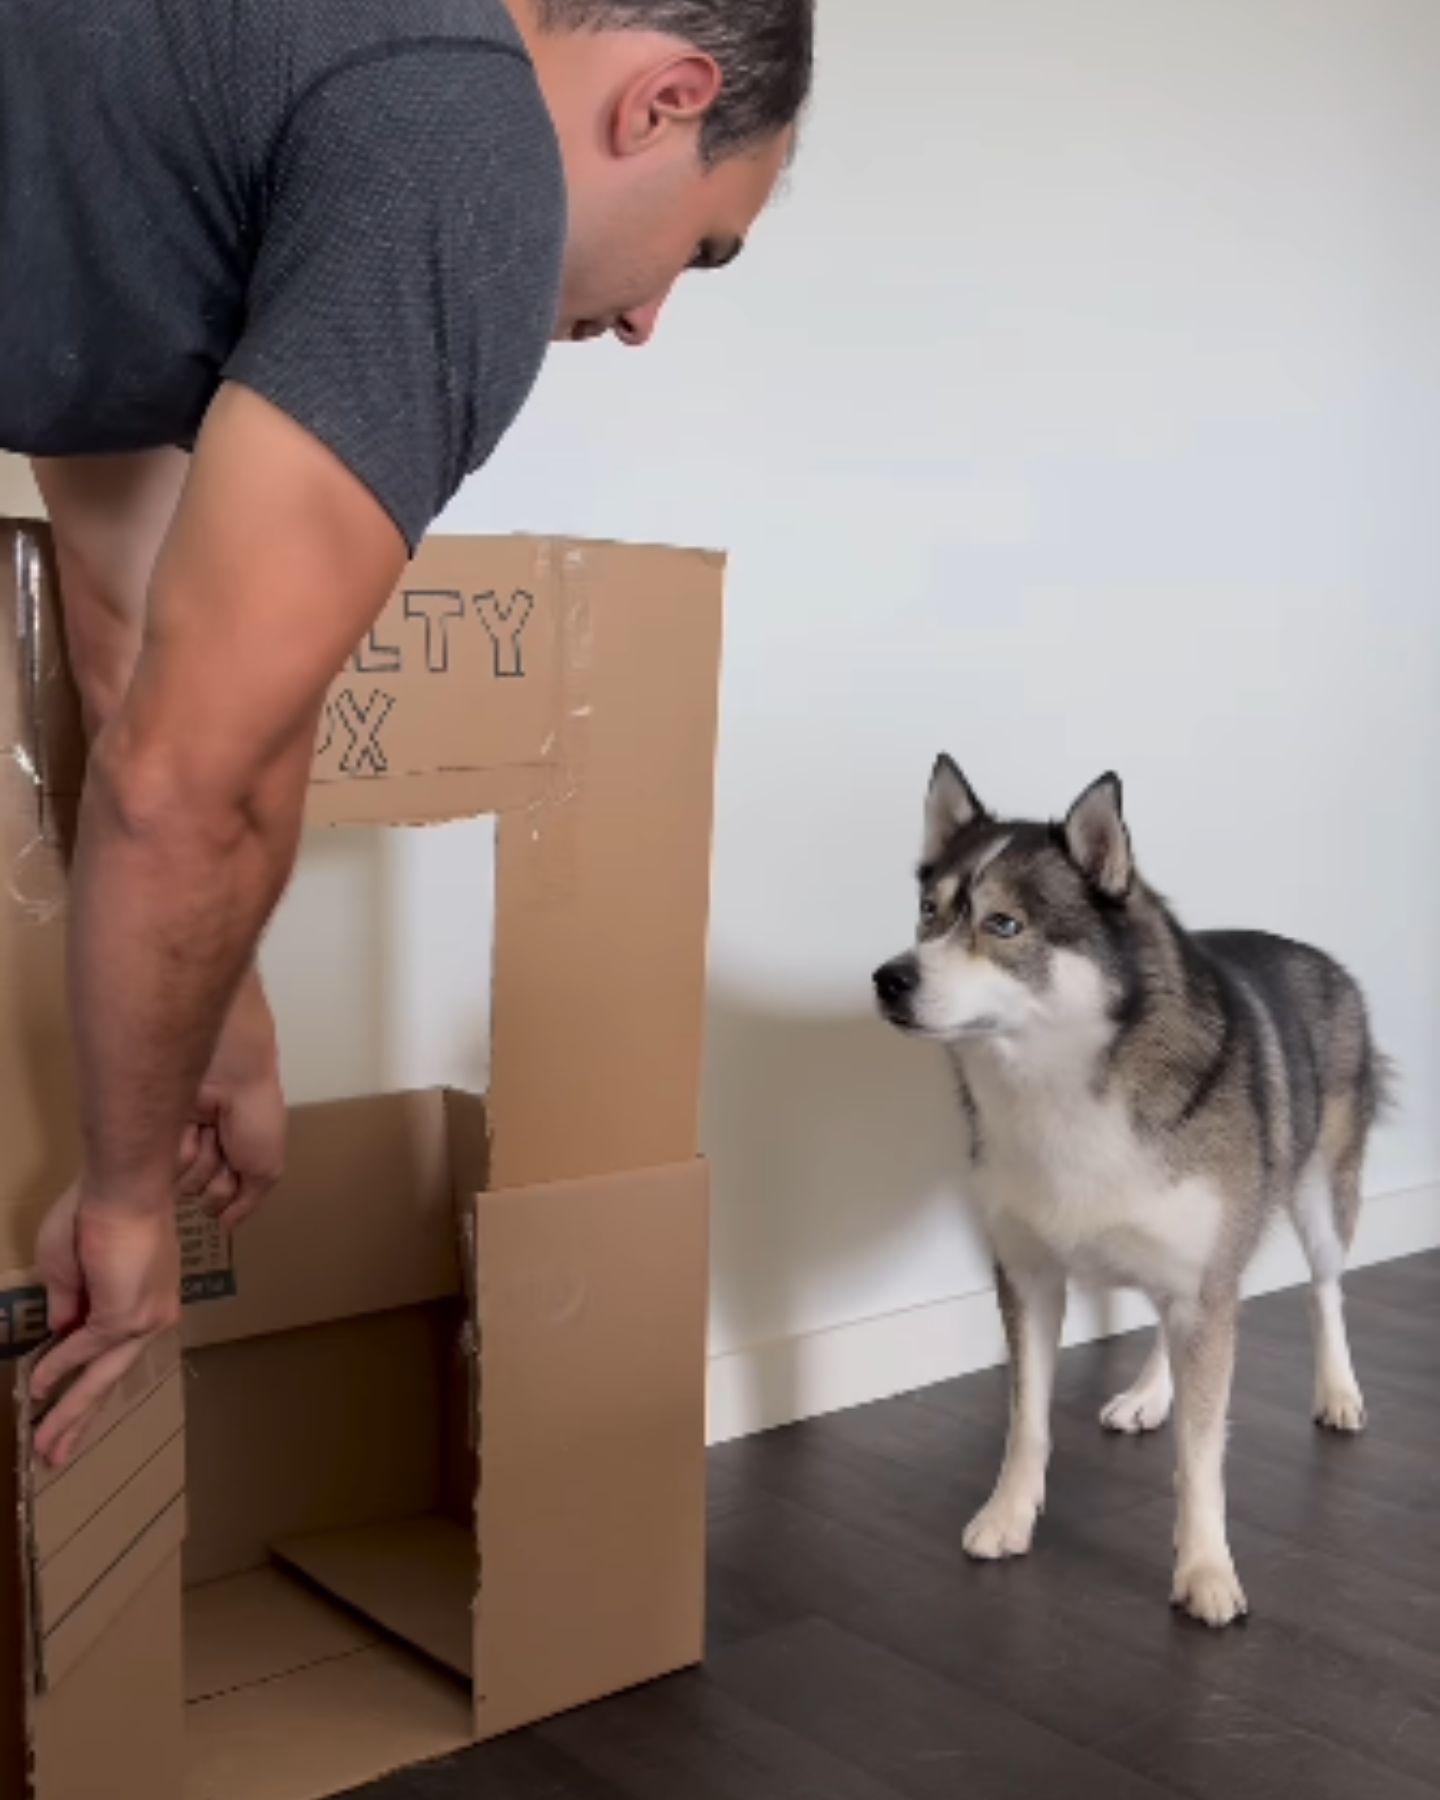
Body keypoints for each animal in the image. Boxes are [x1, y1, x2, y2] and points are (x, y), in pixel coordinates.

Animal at [871, 759, 1389, 1634]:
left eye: (1004, 924)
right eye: (928, 913)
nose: (888, 979)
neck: (1061, 1085)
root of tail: (1322, 958)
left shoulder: (1205, 1283)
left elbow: (1202, 1455)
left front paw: (1205, 1569)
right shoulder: (1030, 1279)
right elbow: (1027, 1422)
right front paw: (1009, 1516)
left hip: (1320, 1199)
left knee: (1325, 1291)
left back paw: (1339, 1391)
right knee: (1169, 1324)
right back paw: (1150, 1392)